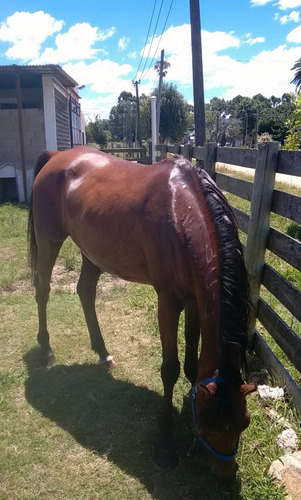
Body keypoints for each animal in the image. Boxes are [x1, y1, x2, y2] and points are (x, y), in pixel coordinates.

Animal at [27, 146, 254, 480]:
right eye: (211, 427)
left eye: (243, 423)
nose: (224, 474)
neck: (183, 213)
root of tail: (57, 155)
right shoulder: (169, 302)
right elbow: (170, 369)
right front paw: (166, 443)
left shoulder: (194, 300)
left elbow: (191, 358)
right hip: (49, 240)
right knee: (42, 290)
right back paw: (46, 350)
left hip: (92, 251)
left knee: (85, 292)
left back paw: (103, 353)